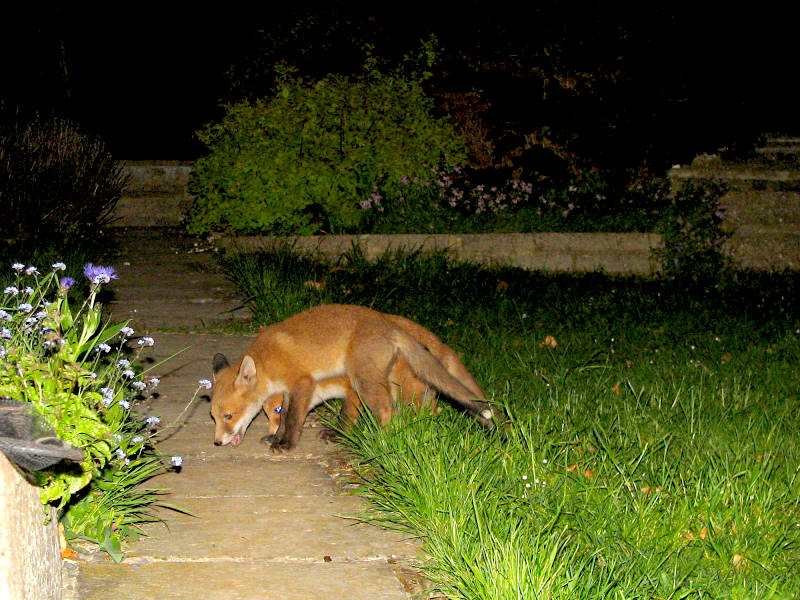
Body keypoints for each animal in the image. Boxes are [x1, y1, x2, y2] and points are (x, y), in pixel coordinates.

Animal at [208, 304, 494, 450]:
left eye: (228, 416)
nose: (217, 441)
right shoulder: (290, 391)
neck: (267, 360)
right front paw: (277, 437)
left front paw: (287, 444)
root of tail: (390, 326)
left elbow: (295, 419)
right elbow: (288, 416)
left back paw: (383, 443)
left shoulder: (302, 382)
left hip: (366, 379)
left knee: (390, 411)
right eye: (214, 417)